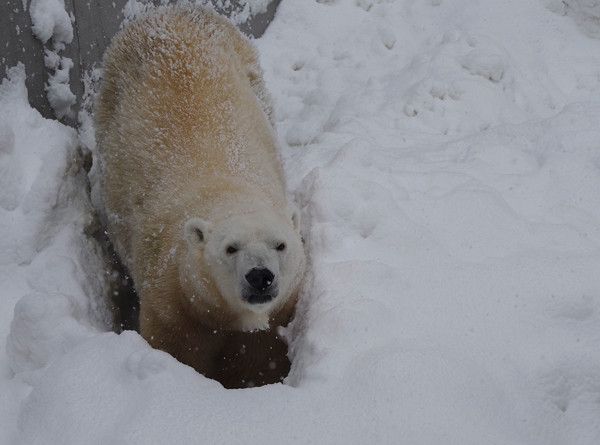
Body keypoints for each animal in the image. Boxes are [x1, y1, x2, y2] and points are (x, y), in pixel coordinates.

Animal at [97, 6, 310, 388]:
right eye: (230, 248)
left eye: (281, 245)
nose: (260, 276)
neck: (225, 190)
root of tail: (168, 13)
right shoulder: (175, 301)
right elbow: (178, 351)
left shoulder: (278, 313)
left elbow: (261, 360)